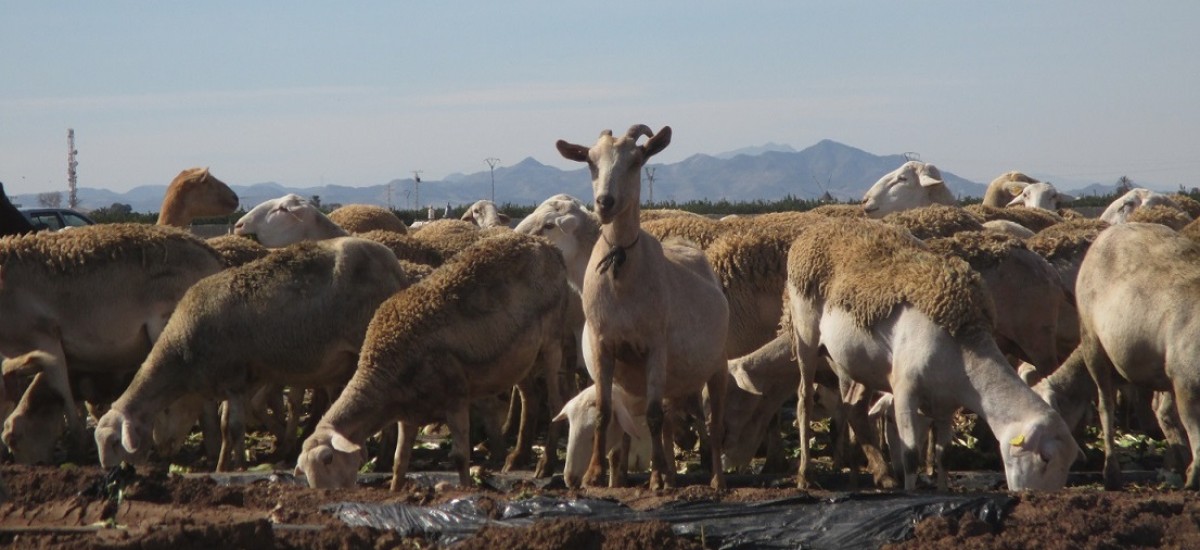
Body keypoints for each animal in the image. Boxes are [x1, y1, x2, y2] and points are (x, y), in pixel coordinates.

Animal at [93, 236, 412, 473]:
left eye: (113, 443)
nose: (108, 473)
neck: (182, 352)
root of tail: (392, 264)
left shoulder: (234, 379)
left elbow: (233, 428)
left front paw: (234, 468)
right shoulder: (235, 383)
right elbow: (228, 427)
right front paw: (228, 464)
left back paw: (383, 459)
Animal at [292, 229, 568, 487]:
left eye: (328, 459)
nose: (330, 495)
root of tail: (546, 245)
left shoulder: (457, 397)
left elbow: (460, 456)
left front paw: (466, 490)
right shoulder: (408, 412)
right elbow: (400, 460)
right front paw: (395, 490)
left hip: (552, 342)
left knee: (556, 403)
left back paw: (546, 465)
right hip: (520, 356)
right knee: (532, 398)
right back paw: (518, 458)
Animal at [554, 124, 729, 489]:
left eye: (636, 161)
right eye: (590, 161)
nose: (605, 202)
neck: (621, 271)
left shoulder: (654, 346)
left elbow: (652, 415)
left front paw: (658, 474)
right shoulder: (603, 345)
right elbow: (606, 410)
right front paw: (596, 474)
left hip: (718, 363)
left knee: (713, 422)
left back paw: (716, 480)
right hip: (681, 378)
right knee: (679, 419)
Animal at [787, 217, 1080, 492]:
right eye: (1045, 458)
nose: (1039, 496)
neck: (966, 353)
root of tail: (816, 229)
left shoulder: (946, 405)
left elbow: (944, 456)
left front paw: (941, 491)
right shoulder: (905, 392)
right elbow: (910, 457)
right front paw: (911, 492)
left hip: (857, 362)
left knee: (854, 408)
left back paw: (876, 476)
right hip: (805, 334)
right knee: (804, 400)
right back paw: (805, 475)